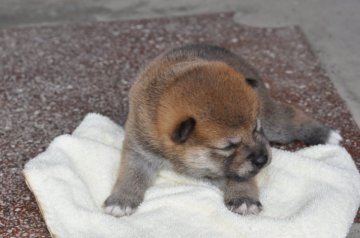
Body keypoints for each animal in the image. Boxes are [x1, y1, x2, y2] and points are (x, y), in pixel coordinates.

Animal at [102, 43, 342, 217]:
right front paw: (121, 200)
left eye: (256, 129)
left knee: (291, 117)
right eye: (228, 146)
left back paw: (326, 134)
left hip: (274, 121)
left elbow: (241, 177)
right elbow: (130, 174)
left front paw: (244, 199)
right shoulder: (139, 148)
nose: (263, 159)